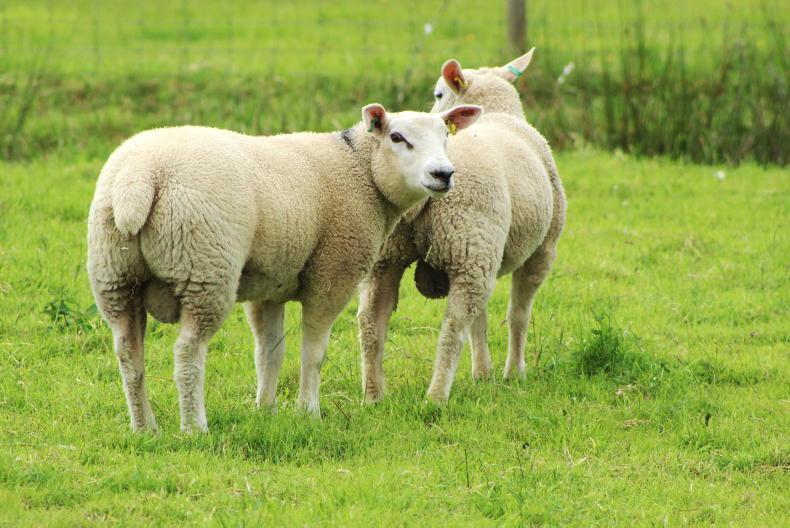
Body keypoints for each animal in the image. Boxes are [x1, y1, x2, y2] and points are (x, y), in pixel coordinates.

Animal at [87, 103, 482, 432]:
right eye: (397, 137)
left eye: (446, 137)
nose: (443, 174)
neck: (360, 170)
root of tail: (140, 179)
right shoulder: (332, 273)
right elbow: (313, 352)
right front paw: (308, 411)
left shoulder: (268, 285)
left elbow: (269, 353)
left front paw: (266, 410)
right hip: (204, 269)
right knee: (187, 352)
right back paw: (194, 428)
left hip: (114, 274)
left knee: (127, 352)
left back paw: (144, 427)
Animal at [357, 49, 566, 403]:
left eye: (437, 94)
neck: (496, 112)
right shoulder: (541, 250)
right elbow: (518, 315)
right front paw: (513, 372)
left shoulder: (486, 257)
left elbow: (482, 320)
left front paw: (483, 373)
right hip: (471, 245)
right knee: (454, 326)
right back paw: (436, 395)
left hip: (390, 256)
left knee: (371, 320)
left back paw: (373, 396)